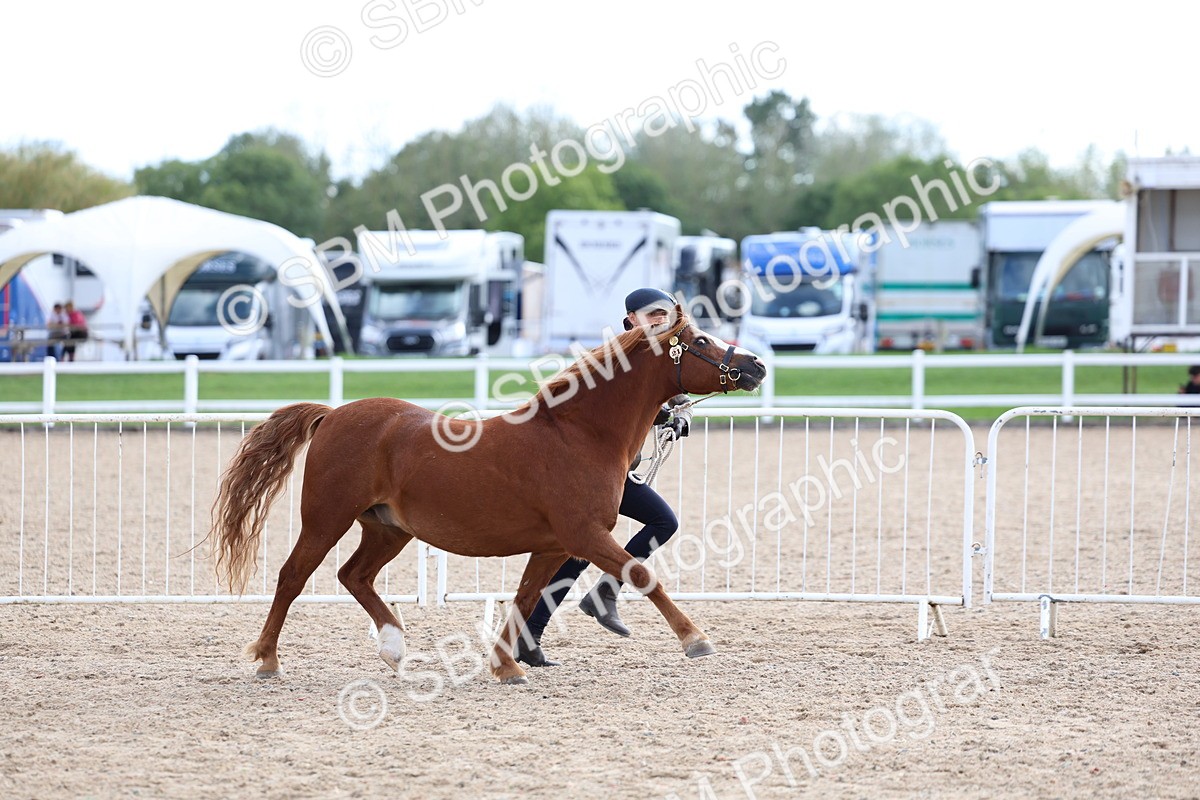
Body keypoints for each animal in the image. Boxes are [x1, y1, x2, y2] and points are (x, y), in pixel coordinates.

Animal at [210, 306, 766, 684]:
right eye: (699, 338)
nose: (757, 365)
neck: (579, 434)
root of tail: (332, 415)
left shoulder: (553, 545)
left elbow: (525, 599)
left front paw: (507, 666)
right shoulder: (584, 536)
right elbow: (642, 574)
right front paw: (696, 640)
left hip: (387, 528)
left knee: (354, 576)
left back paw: (393, 646)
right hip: (327, 518)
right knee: (292, 577)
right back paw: (267, 660)